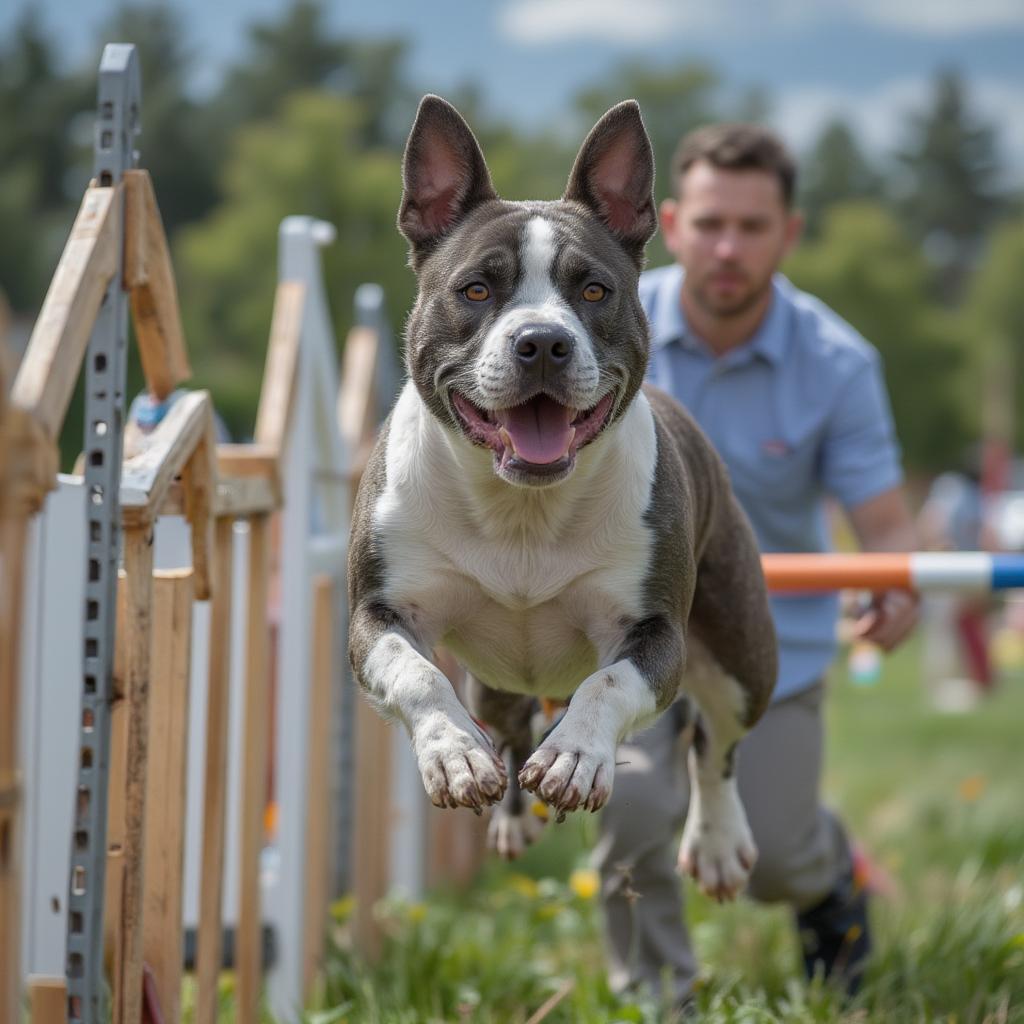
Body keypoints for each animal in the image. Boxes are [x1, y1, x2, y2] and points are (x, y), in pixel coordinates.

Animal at [346, 96, 774, 897]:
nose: (543, 340)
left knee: (717, 741)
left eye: (594, 290)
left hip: (743, 658)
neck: (522, 512)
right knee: (509, 723)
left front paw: (575, 758)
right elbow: (417, 675)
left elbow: (607, 685)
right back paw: (511, 810)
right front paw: (455, 754)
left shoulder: (655, 632)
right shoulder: (378, 614)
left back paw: (718, 842)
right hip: (495, 680)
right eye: (476, 289)